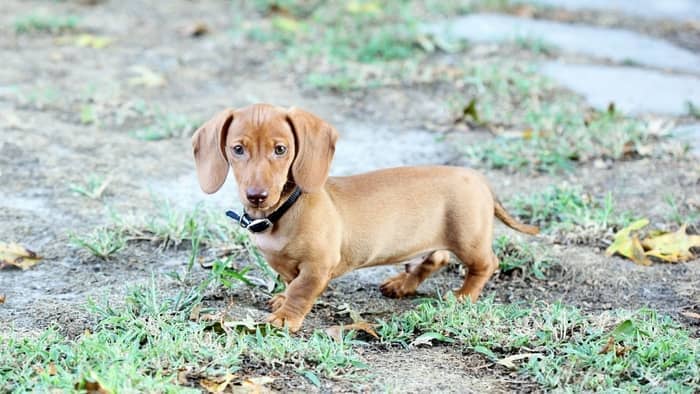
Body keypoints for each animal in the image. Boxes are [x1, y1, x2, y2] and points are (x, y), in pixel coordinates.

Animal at [194, 103, 540, 330]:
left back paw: (463, 296)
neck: (281, 212)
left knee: (485, 265)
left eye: (280, 149)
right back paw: (403, 284)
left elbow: (301, 290)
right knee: (437, 258)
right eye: (238, 149)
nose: (257, 195)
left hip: (469, 238)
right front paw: (281, 300)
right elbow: (291, 283)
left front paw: (285, 317)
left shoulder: (318, 266)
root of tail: (479, 178)